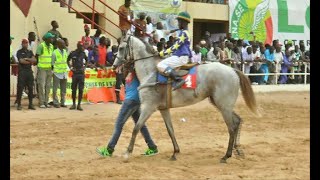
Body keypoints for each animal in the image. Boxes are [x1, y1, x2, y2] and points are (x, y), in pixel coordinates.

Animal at [112, 34, 258, 163]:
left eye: (121, 48)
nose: (114, 66)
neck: (151, 72)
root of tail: (232, 70)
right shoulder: (163, 109)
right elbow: (170, 130)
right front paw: (175, 153)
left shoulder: (148, 107)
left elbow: (136, 128)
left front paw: (127, 153)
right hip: (221, 104)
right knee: (237, 121)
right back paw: (237, 150)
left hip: (224, 106)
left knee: (231, 128)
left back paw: (226, 156)